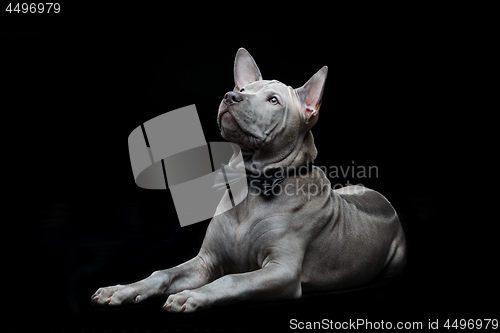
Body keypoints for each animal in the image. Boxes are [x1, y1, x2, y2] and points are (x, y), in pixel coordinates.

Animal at [93, 48, 406, 312]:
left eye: (274, 100)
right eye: (242, 89)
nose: (231, 96)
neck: (252, 190)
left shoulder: (281, 271)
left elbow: (232, 279)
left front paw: (191, 295)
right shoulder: (204, 262)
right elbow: (162, 272)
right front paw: (122, 289)